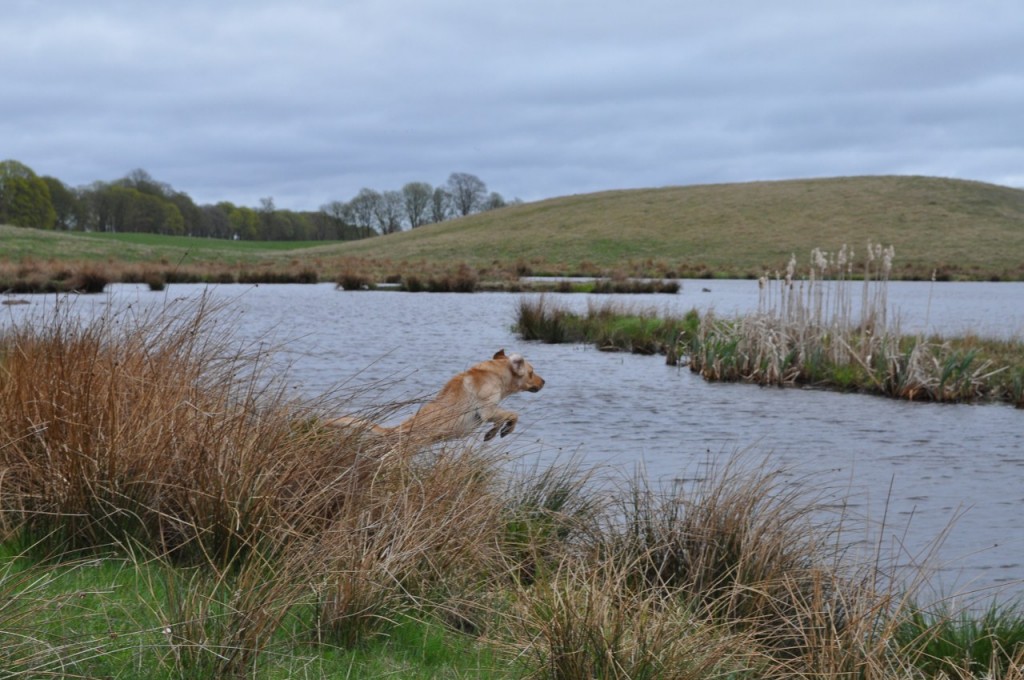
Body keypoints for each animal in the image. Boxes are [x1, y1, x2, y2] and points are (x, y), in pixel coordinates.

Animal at [331, 350, 548, 446]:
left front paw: (492, 433)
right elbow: (513, 414)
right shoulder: (487, 409)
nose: (544, 381)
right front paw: (506, 429)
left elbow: (500, 420)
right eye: (531, 372)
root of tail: (393, 431)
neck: (496, 374)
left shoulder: (490, 413)